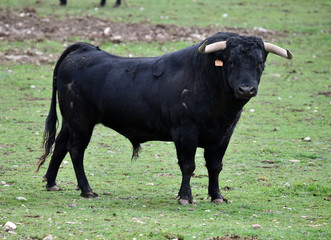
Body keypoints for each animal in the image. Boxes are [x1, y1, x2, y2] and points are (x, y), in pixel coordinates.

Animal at [37, 31, 294, 204]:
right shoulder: (186, 133)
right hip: (81, 121)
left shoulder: (223, 135)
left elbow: (215, 166)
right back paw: (87, 189)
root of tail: (85, 50)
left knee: (60, 145)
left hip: (70, 120)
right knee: (76, 150)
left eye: (259, 63)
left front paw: (217, 196)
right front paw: (185, 197)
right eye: (231, 62)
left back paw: (51, 183)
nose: (246, 89)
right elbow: (188, 166)